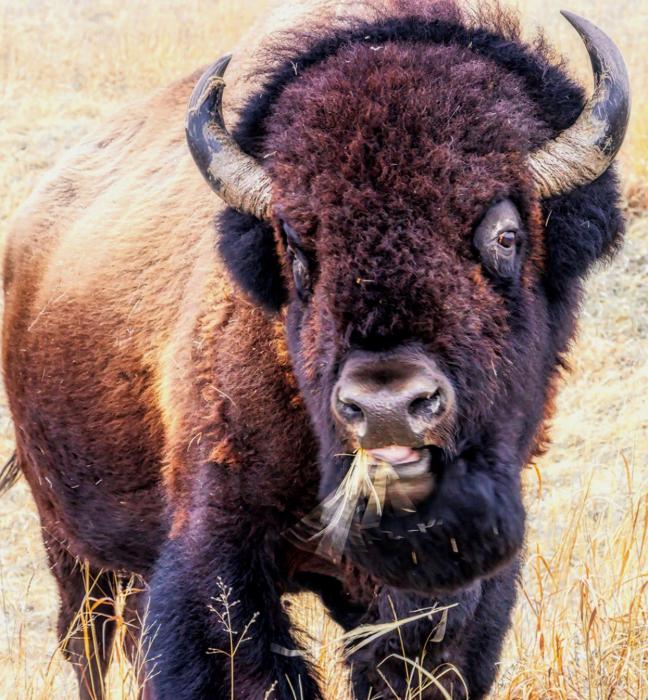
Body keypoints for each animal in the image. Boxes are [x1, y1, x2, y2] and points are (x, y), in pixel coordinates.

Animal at [0, 0, 629, 698]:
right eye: (298, 251)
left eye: (506, 235)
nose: (386, 406)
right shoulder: (218, 556)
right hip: (70, 539)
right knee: (89, 639)